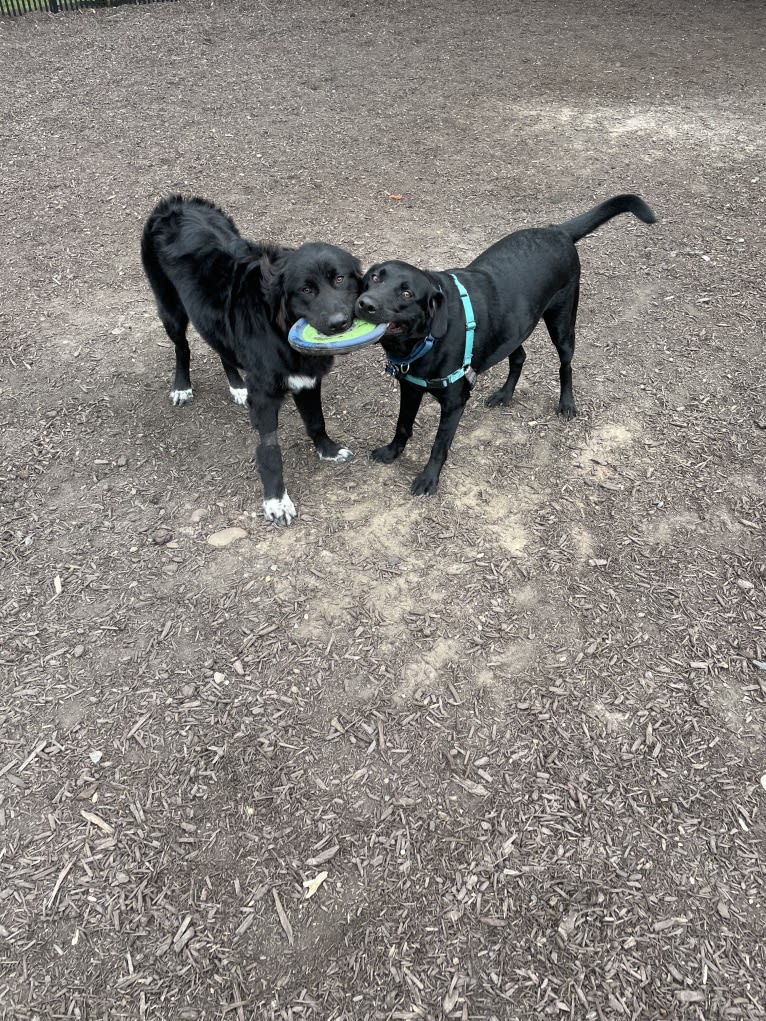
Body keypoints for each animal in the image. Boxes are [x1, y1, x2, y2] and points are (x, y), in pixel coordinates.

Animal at [142, 195, 363, 526]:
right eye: (306, 289)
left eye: (339, 278)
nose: (339, 323)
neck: (278, 326)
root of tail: (174, 203)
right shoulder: (266, 396)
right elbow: (270, 451)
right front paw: (276, 500)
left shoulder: (307, 380)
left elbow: (316, 421)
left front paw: (328, 449)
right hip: (171, 311)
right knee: (182, 348)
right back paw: (182, 386)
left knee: (221, 349)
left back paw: (236, 386)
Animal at [357, 192, 657, 496]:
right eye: (375, 277)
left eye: (407, 293)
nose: (364, 304)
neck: (426, 339)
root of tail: (557, 230)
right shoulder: (410, 388)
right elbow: (402, 425)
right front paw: (392, 452)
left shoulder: (454, 402)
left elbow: (439, 446)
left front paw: (429, 479)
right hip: (513, 331)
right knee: (520, 357)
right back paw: (505, 394)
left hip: (562, 325)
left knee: (566, 365)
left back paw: (566, 403)